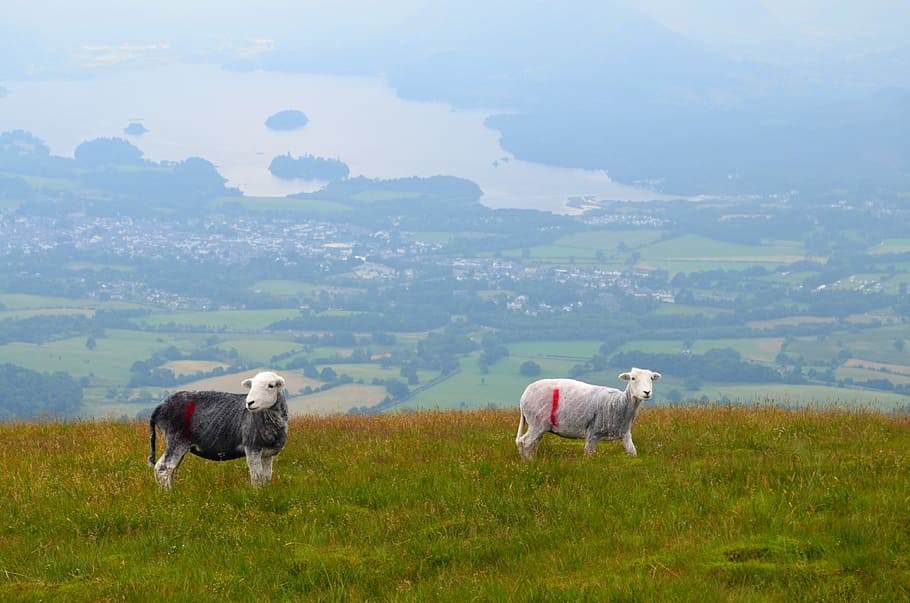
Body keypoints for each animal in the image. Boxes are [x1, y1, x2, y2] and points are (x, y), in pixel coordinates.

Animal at [148, 371, 288, 488]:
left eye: (271, 385)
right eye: (251, 386)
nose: (249, 402)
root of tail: (159, 408)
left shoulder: (268, 454)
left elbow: (266, 477)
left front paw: (265, 492)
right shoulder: (252, 447)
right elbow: (257, 477)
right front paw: (256, 494)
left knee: (172, 469)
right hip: (175, 439)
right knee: (163, 468)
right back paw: (167, 494)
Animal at [515, 367, 661, 460]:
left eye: (651, 378)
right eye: (632, 378)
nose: (647, 392)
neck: (619, 403)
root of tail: (524, 396)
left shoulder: (625, 434)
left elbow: (633, 453)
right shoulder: (593, 433)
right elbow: (588, 455)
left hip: (539, 426)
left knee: (532, 444)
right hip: (536, 422)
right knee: (524, 442)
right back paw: (528, 464)